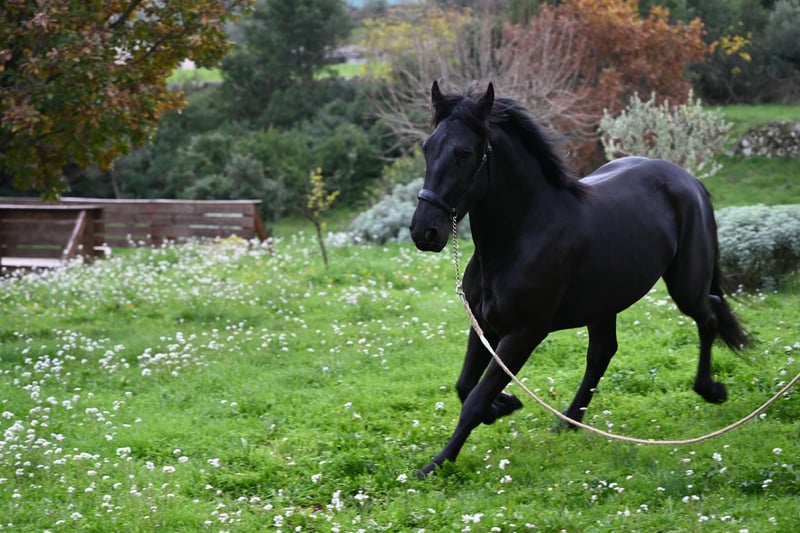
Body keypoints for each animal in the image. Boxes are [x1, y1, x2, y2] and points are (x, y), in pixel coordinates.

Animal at [409, 81, 749, 477]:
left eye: (464, 153)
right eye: (427, 147)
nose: (424, 232)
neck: (522, 234)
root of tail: (689, 180)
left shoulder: (524, 333)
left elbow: (476, 399)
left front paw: (434, 465)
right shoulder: (485, 324)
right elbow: (464, 386)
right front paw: (505, 405)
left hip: (685, 286)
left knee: (709, 316)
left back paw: (711, 390)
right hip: (605, 301)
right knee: (603, 352)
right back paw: (568, 422)